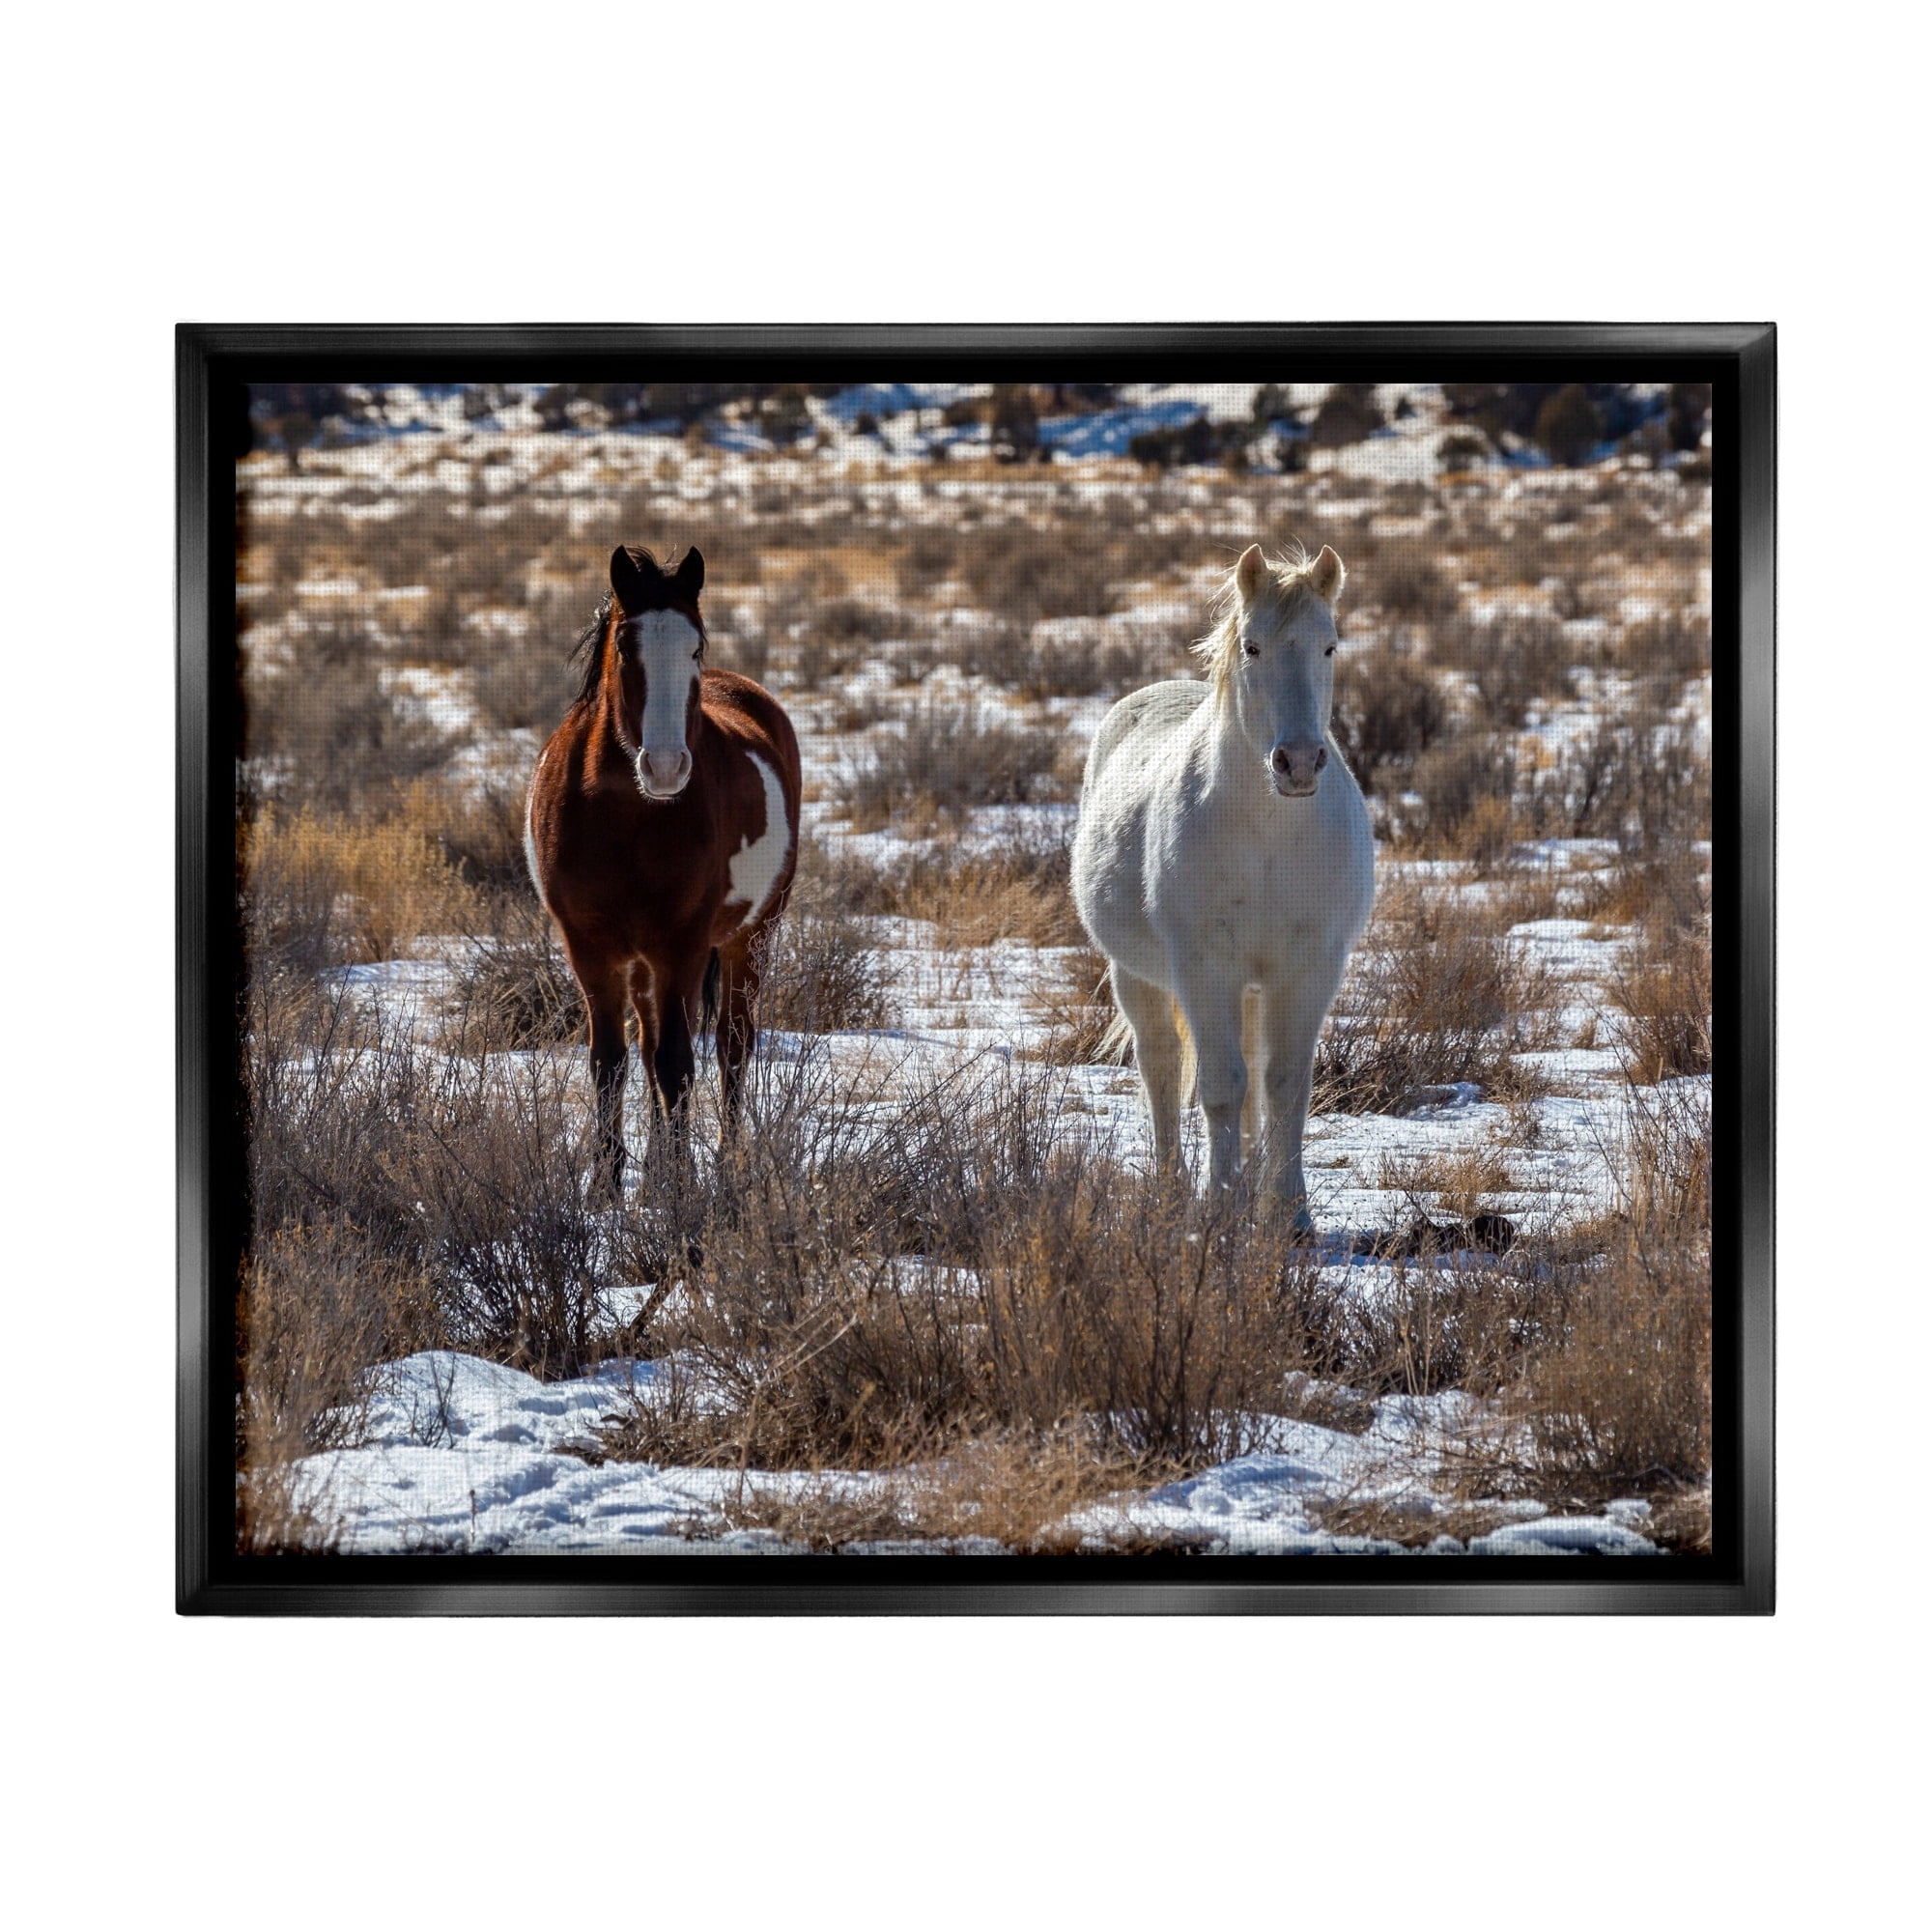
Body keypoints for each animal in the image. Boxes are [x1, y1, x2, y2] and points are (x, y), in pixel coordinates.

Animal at [526, 545, 802, 1191]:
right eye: (627, 646)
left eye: (695, 646)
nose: (668, 766)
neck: (626, 815)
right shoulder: (590, 947)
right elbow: (612, 1061)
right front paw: (606, 1187)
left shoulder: (683, 943)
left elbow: (677, 1062)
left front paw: (679, 1189)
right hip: (646, 961)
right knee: (651, 1043)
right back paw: (655, 1169)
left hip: (751, 935)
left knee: (731, 1044)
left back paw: (723, 1162)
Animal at [1069, 542, 1374, 1228]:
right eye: (1253, 647)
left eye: (1330, 646)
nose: (1297, 763)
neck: (1269, 833)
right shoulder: (1205, 967)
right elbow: (1220, 1086)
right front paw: (1221, 1206)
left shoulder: (1310, 967)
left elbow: (1284, 1084)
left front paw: (1290, 1216)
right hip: (1138, 976)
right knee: (1160, 1065)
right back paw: (1171, 1189)